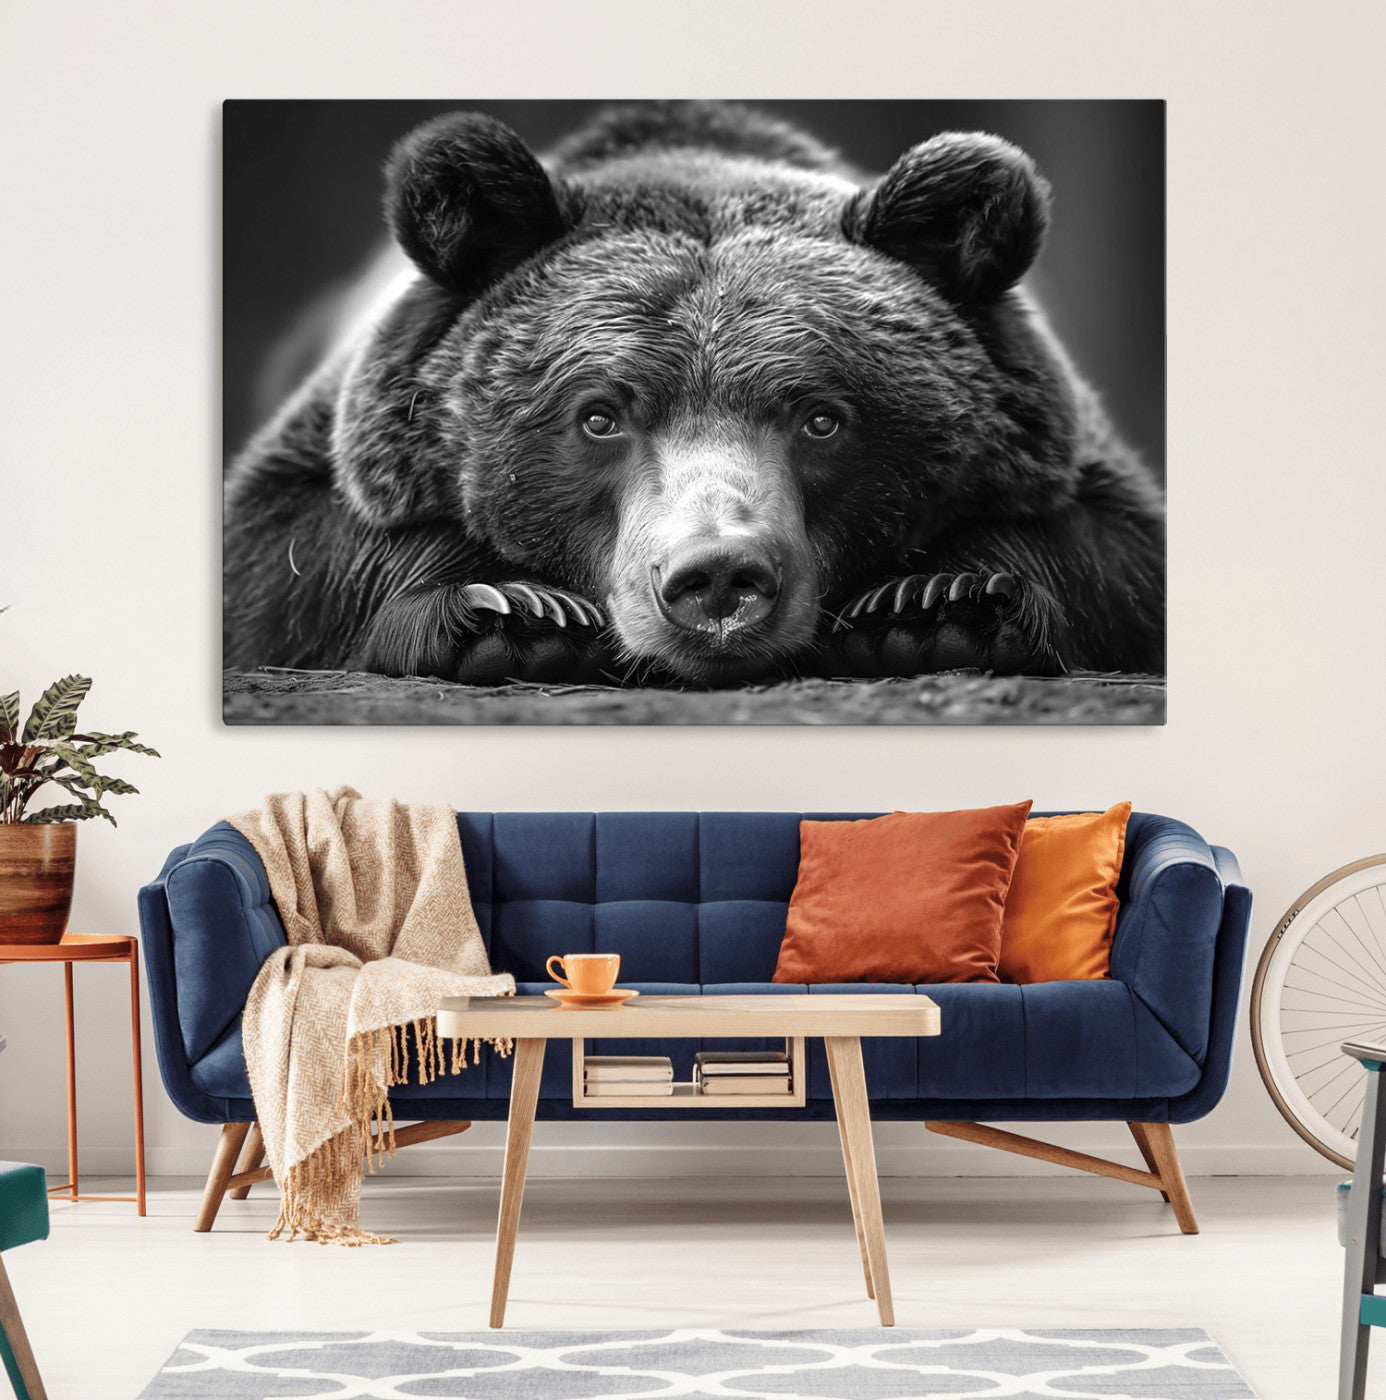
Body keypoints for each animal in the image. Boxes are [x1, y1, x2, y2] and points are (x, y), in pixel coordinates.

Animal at [224, 101, 1165, 689]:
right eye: (598, 415)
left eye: (822, 418)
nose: (717, 577)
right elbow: (285, 556)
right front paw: (514, 615)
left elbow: (1110, 554)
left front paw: (934, 606)